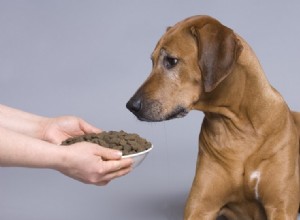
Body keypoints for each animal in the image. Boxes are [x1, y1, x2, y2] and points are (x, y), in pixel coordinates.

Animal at [125, 14, 298, 219]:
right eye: (152, 61)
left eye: (171, 61)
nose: (131, 106)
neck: (241, 128)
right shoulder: (200, 206)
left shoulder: (280, 207)